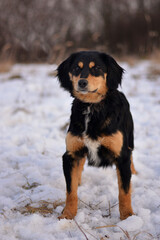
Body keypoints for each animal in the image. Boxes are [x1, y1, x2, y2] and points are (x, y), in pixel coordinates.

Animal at [57, 51, 136, 220]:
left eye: (97, 68)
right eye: (76, 68)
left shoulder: (122, 156)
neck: (91, 107)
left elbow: (124, 191)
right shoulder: (70, 154)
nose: (82, 83)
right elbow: (71, 191)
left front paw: (128, 217)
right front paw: (67, 214)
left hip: (130, 138)